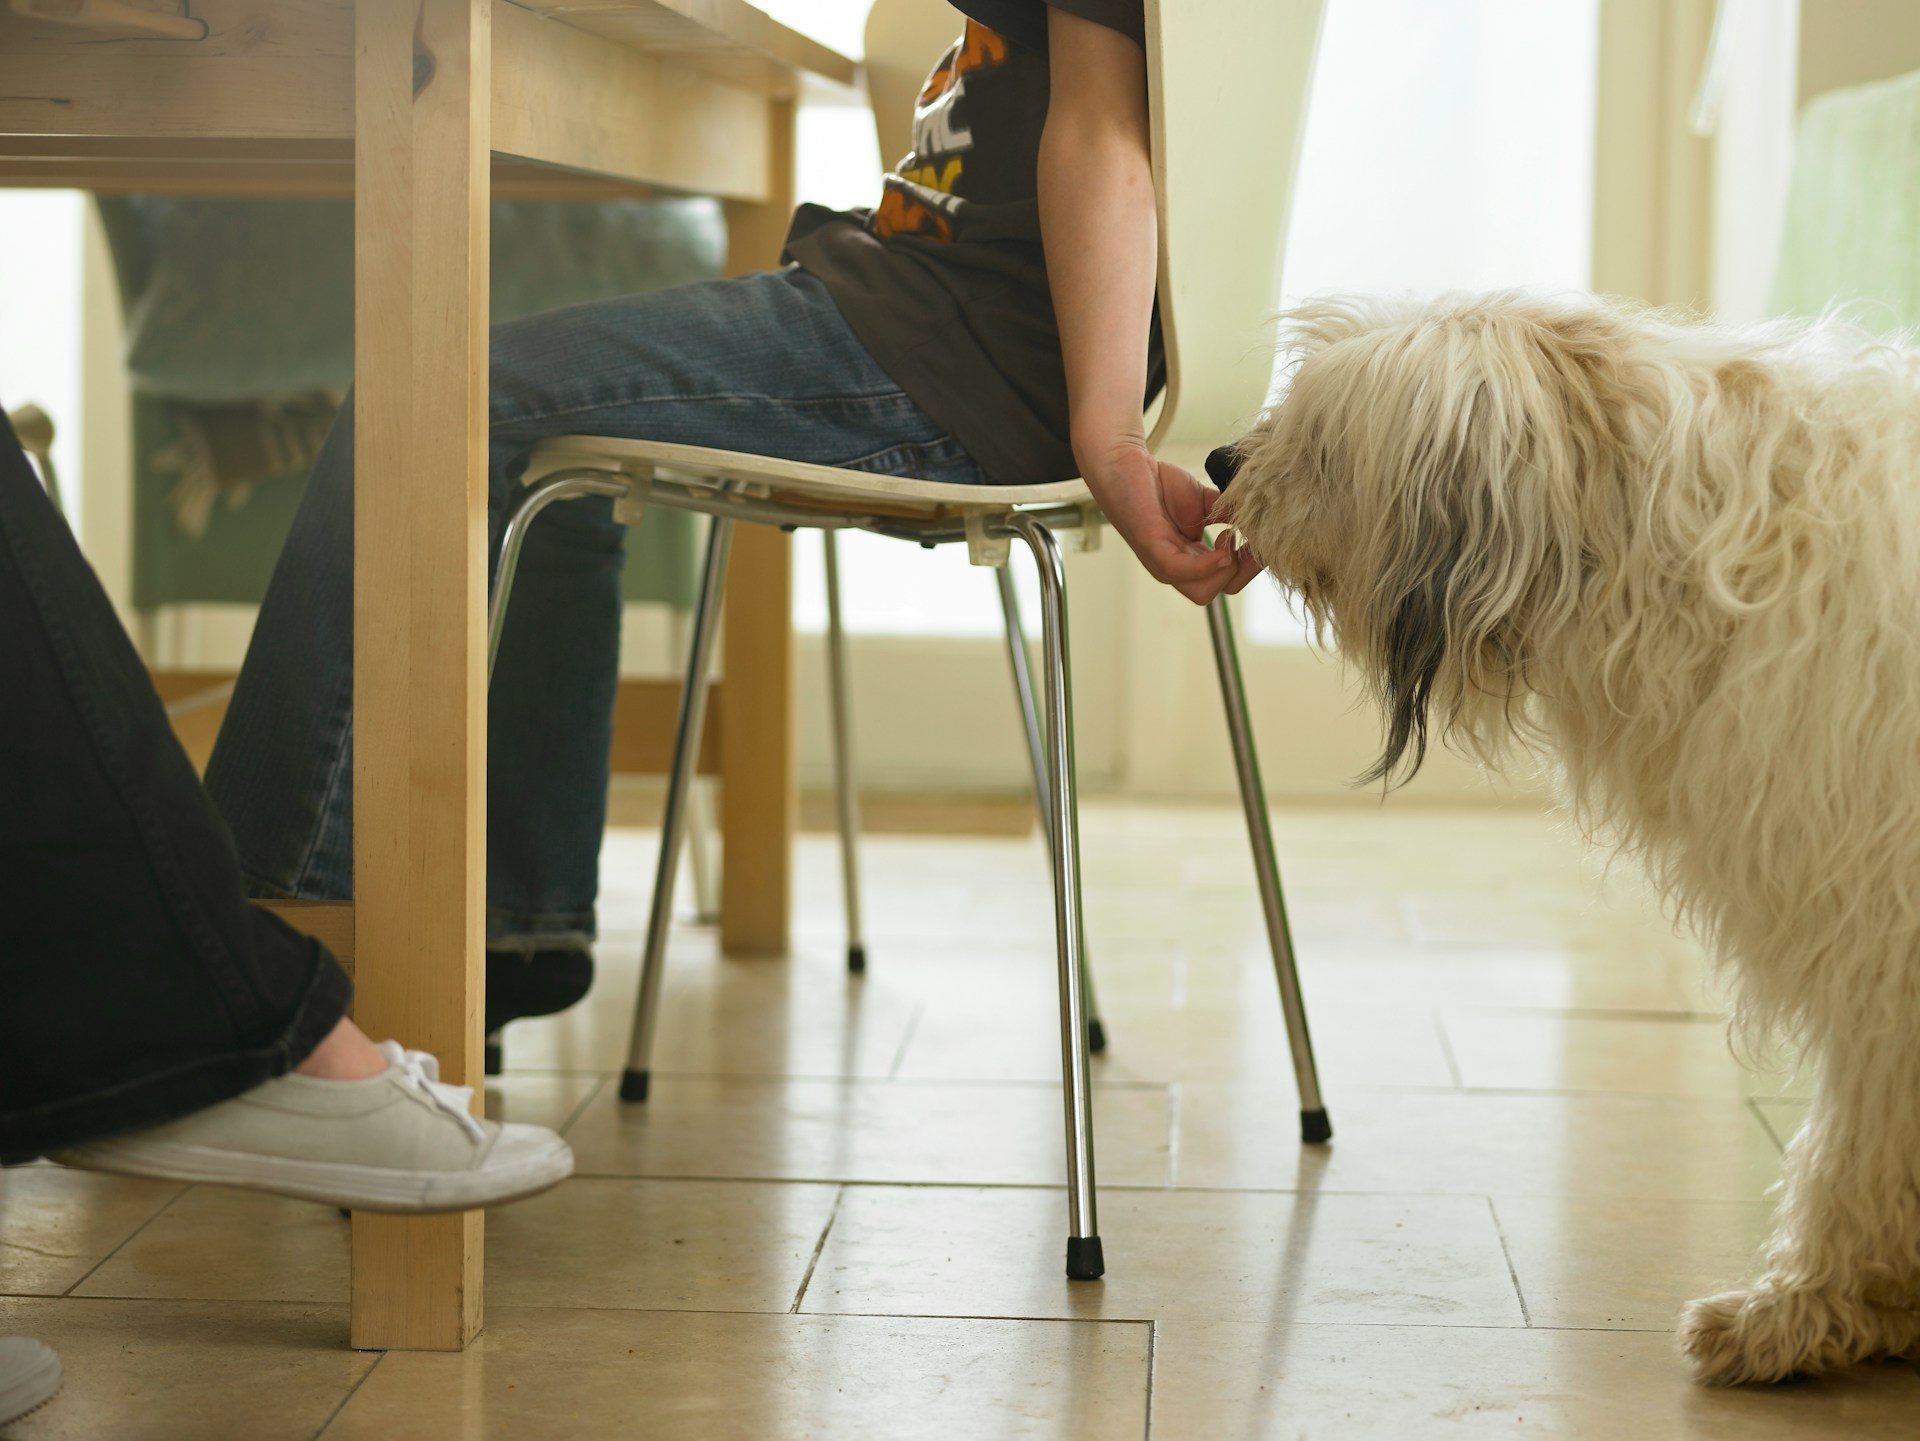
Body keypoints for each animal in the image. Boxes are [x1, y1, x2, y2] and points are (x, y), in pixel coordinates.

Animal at [1213, 293, 1920, 1389]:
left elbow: (1862, 1135)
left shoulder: (1886, 935)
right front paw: (1843, 1305)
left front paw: (1808, 1305)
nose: (1216, 463)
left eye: (1324, 440)